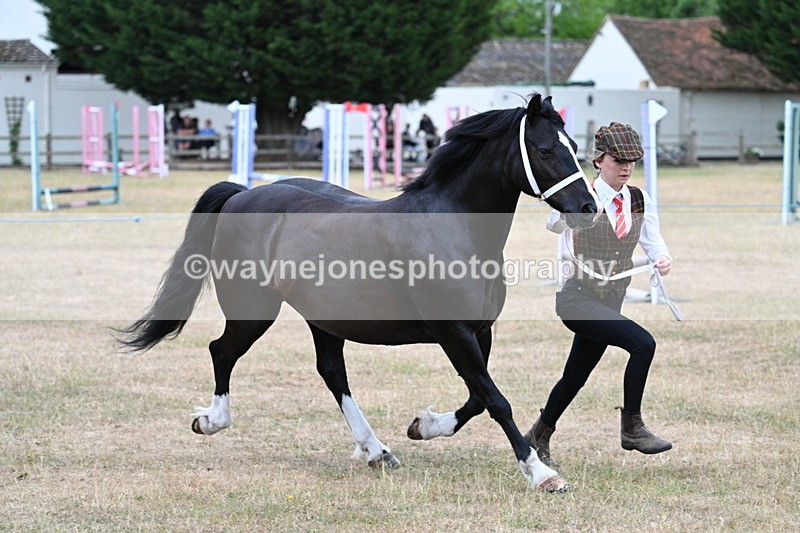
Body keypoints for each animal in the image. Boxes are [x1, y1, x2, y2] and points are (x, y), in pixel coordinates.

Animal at [117, 93, 600, 492]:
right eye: (545, 150)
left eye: (573, 146)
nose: (588, 208)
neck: (454, 227)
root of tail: (242, 196)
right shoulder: (453, 332)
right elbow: (495, 401)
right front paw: (542, 473)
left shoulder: (479, 331)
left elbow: (476, 399)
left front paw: (423, 425)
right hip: (254, 310)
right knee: (222, 350)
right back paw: (211, 420)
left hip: (323, 319)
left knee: (332, 373)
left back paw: (377, 450)